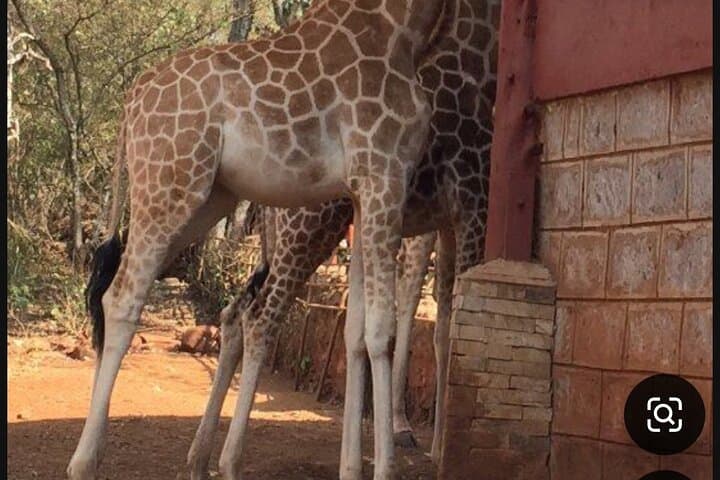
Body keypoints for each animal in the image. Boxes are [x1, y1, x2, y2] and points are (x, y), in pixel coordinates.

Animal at [68, 1, 448, 479]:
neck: (403, 28)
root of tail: (132, 100)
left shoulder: (363, 193)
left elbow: (357, 331)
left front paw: (354, 466)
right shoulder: (384, 173)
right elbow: (383, 331)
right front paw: (386, 465)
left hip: (205, 198)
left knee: (113, 290)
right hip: (169, 187)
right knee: (123, 298)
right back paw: (84, 461)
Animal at [188, 0, 500, 477]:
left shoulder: (445, 218)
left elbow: (426, 325)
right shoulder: (470, 198)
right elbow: (430, 321)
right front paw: (423, 445)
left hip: (283, 241)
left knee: (234, 312)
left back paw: (199, 456)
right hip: (311, 226)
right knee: (262, 317)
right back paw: (229, 461)